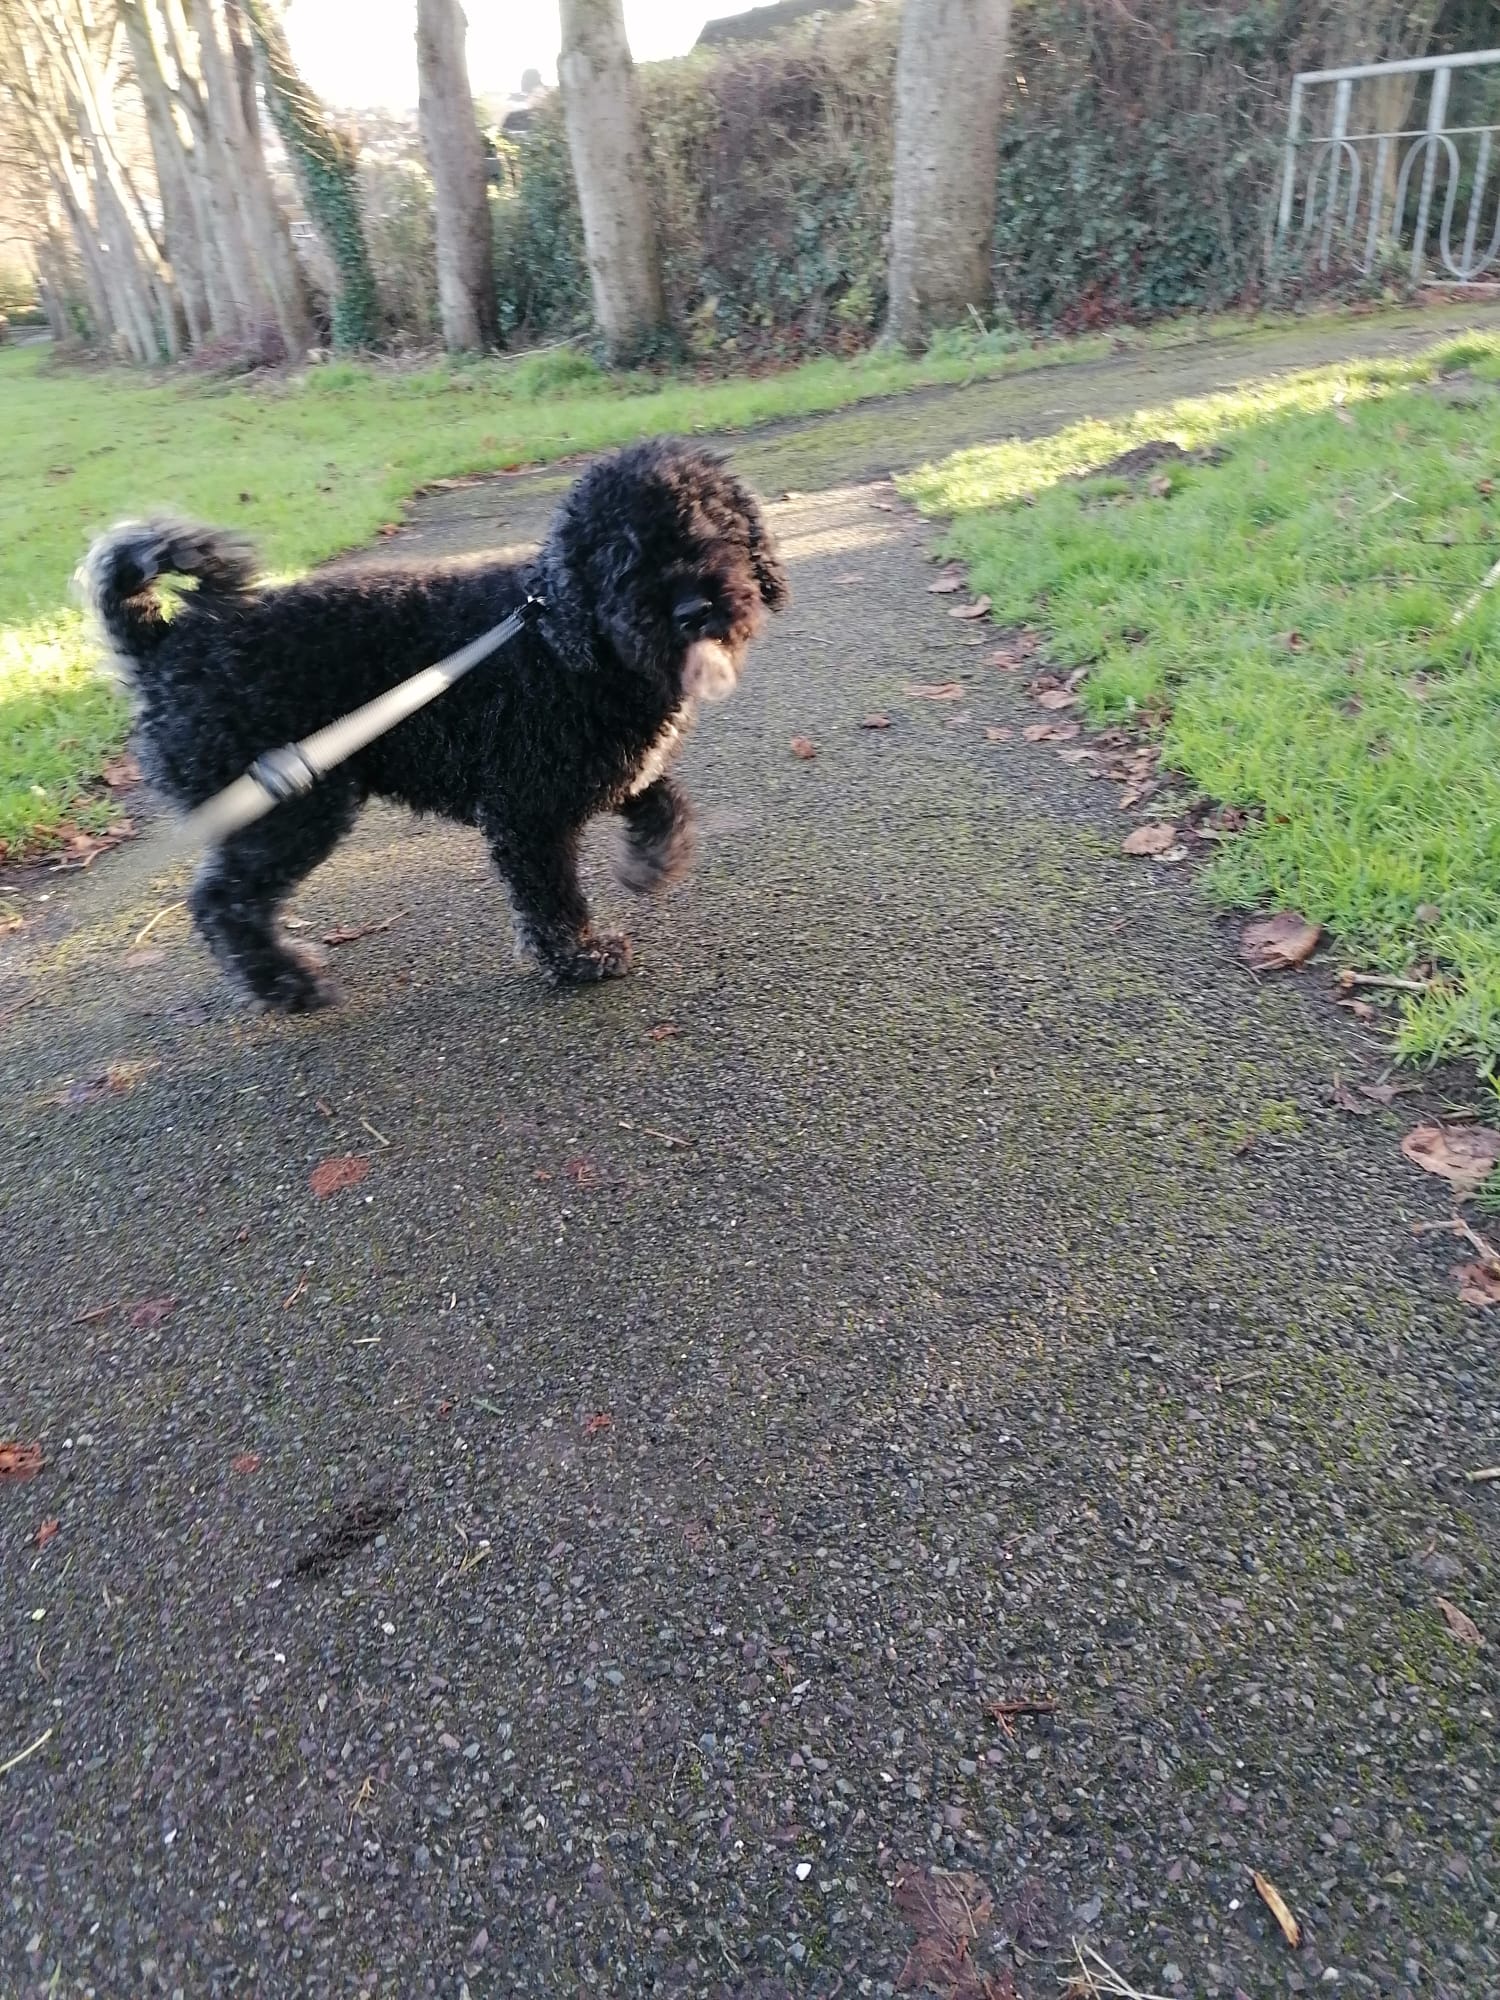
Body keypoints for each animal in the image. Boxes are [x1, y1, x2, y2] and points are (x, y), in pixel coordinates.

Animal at [82, 440, 788, 1011]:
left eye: (721, 530)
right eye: (623, 555)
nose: (695, 609)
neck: (564, 639)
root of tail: (165, 646)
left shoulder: (606, 769)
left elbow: (662, 799)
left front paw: (651, 861)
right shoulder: (525, 811)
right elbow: (551, 899)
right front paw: (579, 958)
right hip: (289, 806)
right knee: (222, 902)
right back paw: (288, 985)